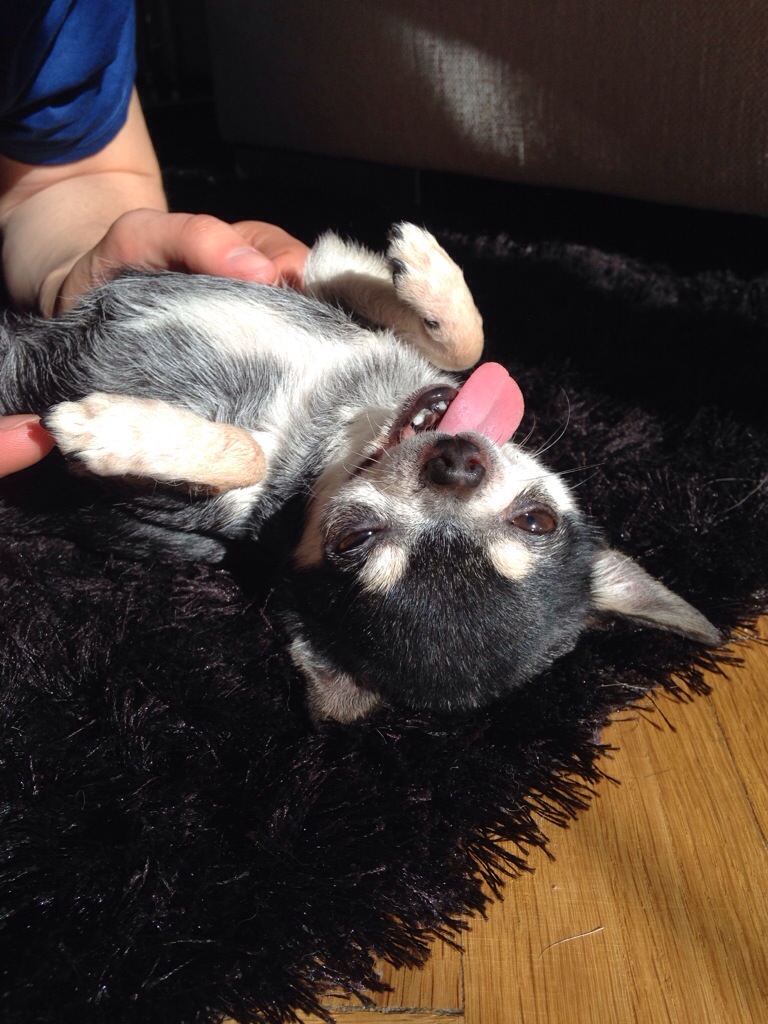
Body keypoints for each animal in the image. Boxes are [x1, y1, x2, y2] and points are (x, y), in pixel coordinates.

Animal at [0, 224, 720, 723]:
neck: (349, 423)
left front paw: (115, 430)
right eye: (535, 519)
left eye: (353, 540)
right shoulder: (328, 297)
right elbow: (467, 342)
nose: (455, 463)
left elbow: (247, 455)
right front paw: (428, 275)